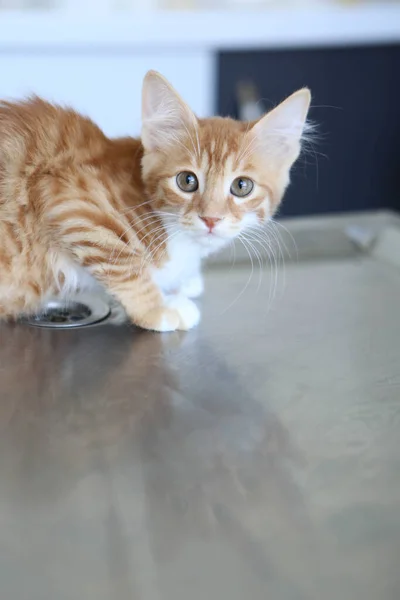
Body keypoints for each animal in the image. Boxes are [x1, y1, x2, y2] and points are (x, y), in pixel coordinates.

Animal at [0, 72, 310, 332]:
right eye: (187, 181)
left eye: (241, 186)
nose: (211, 218)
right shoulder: (69, 200)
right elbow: (124, 263)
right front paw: (157, 309)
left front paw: (183, 283)